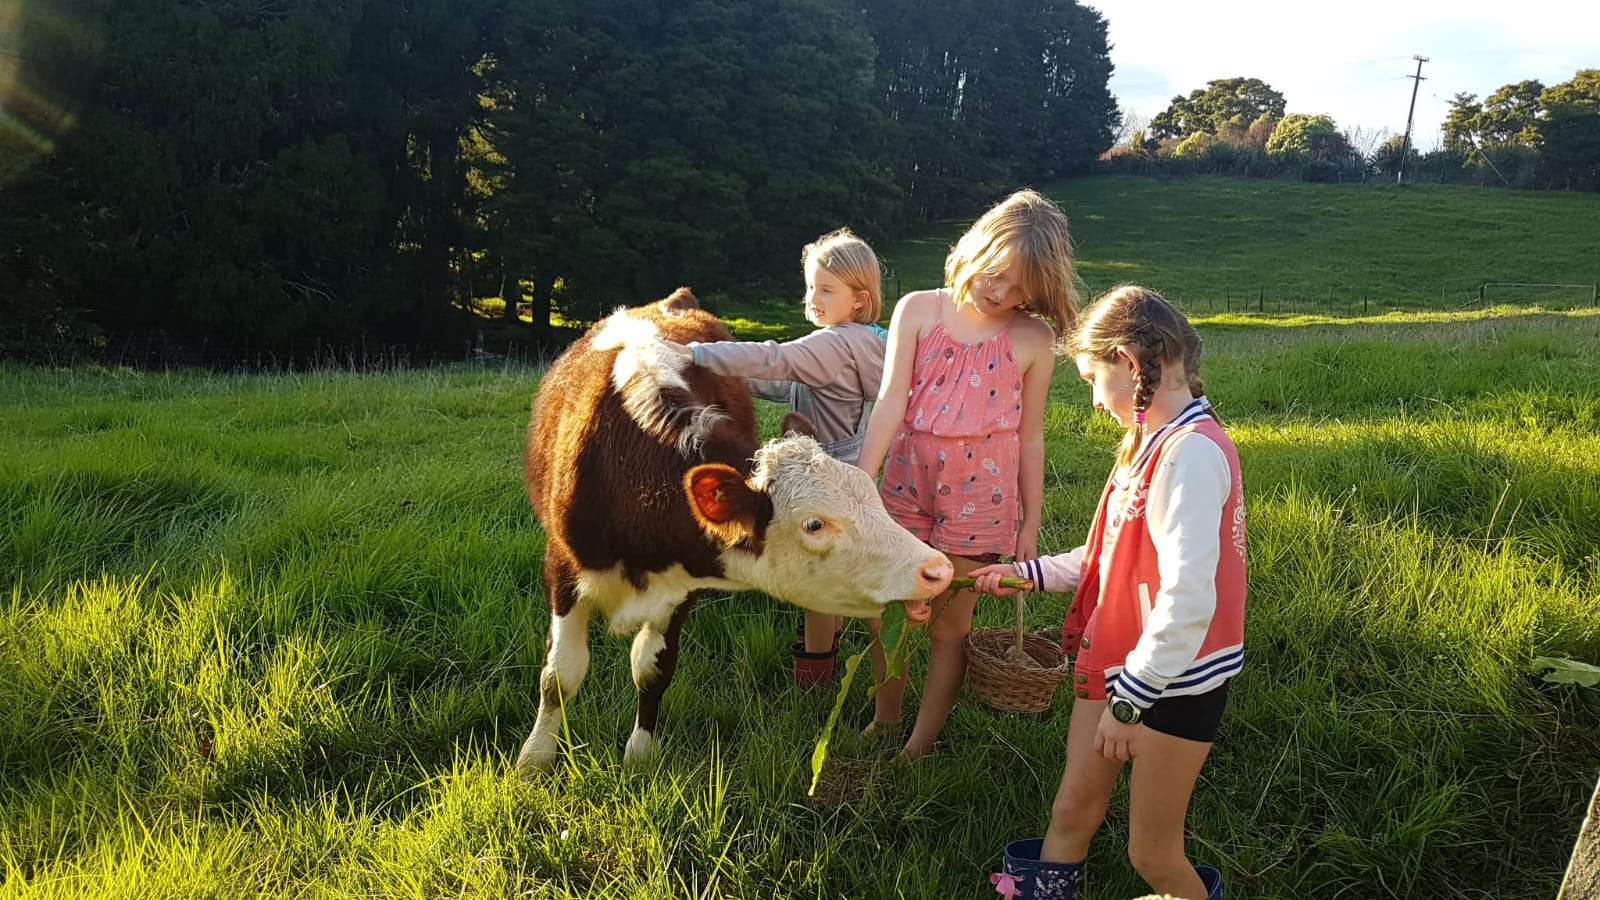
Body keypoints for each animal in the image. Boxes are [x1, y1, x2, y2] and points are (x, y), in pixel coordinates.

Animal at [517, 288, 954, 774]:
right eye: (814, 523)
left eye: (873, 492)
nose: (937, 569)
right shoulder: (561, 568)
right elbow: (560, 674)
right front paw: (534, 758)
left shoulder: (681, 587)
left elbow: (652, 669)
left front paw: (640, 756)